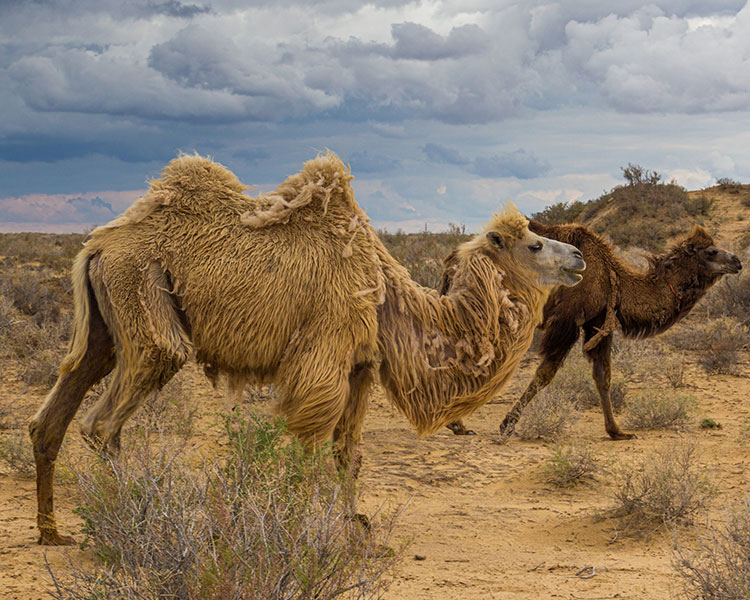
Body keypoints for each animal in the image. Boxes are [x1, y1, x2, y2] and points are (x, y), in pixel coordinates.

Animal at [29, 152, 584, 548]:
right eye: (534, 244)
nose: (578, 256)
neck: (384, 294)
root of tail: (97, 245)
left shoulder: (360, 367)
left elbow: (348, 455)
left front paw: (355, 523)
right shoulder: (323, 362)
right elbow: (309, 446)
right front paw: (306, 524)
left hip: (106, 328)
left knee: (53, 414)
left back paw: (53, 530)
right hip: (142, 298)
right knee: (107, 420)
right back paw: (130, 518)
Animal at [444, 220, 744, 440]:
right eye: (711, 251)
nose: (737, 261)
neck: (614, 277)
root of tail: (454, 257)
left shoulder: (597, 322)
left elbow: (603, 375)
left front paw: (617, 431)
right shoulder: (567, 319)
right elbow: (545, 373)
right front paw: (507, 424)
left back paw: (456, 423)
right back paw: (456, 423)